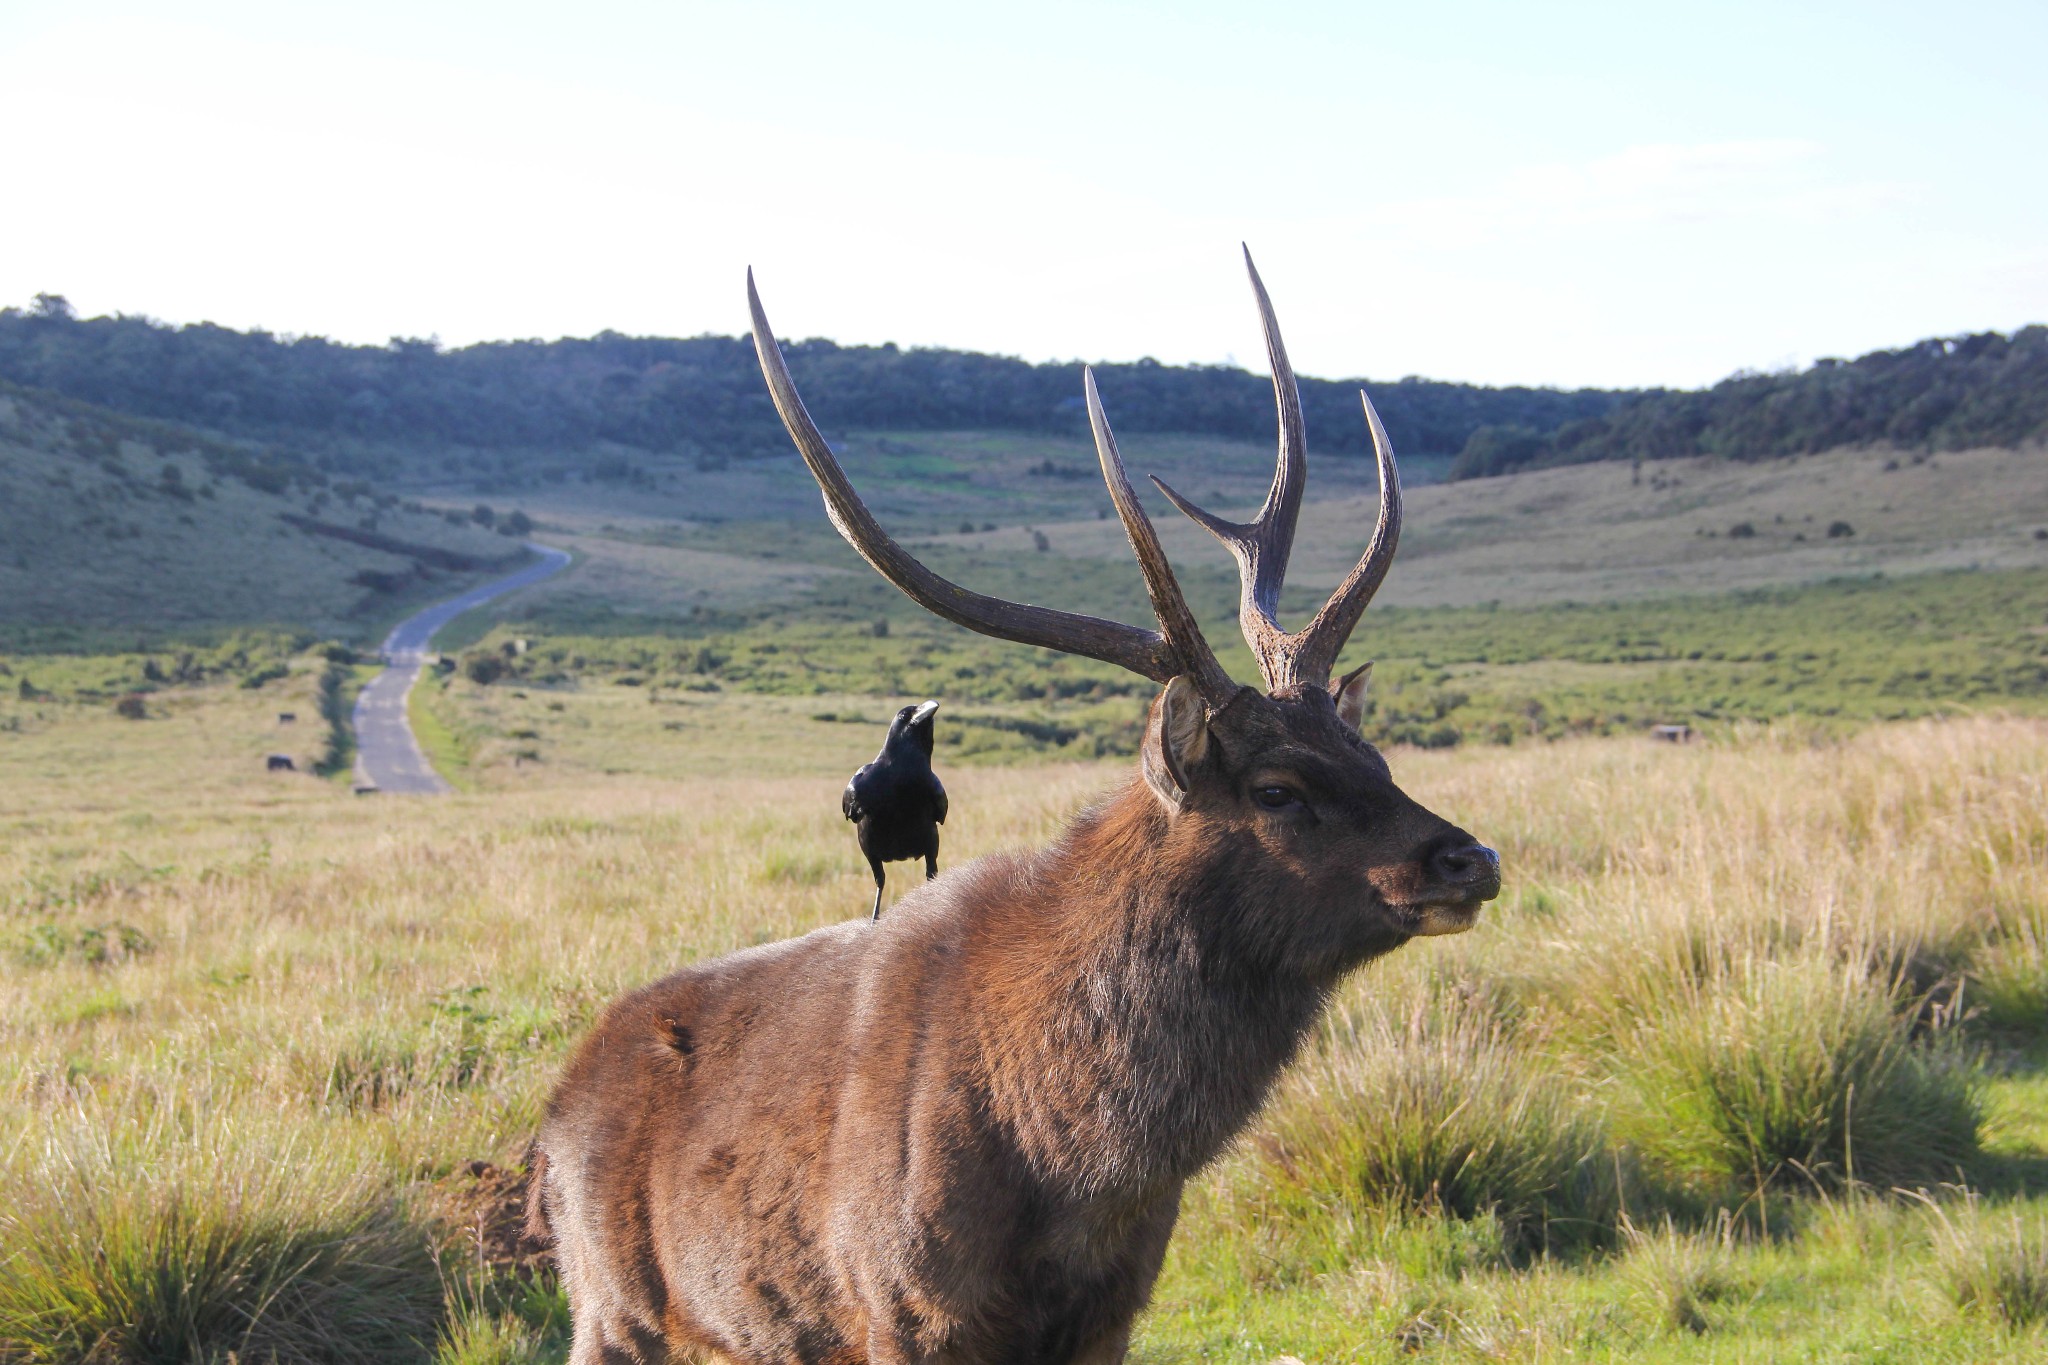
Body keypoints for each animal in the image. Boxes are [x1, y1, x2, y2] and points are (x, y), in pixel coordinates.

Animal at [528, 253, 1507, 1365]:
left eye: (1372, 754)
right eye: (1276, 789)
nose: (1469, 859)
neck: (1073, 1172)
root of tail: (552, 1118)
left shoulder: (1111, 1310)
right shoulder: (902, 1304)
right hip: (612, 1309)